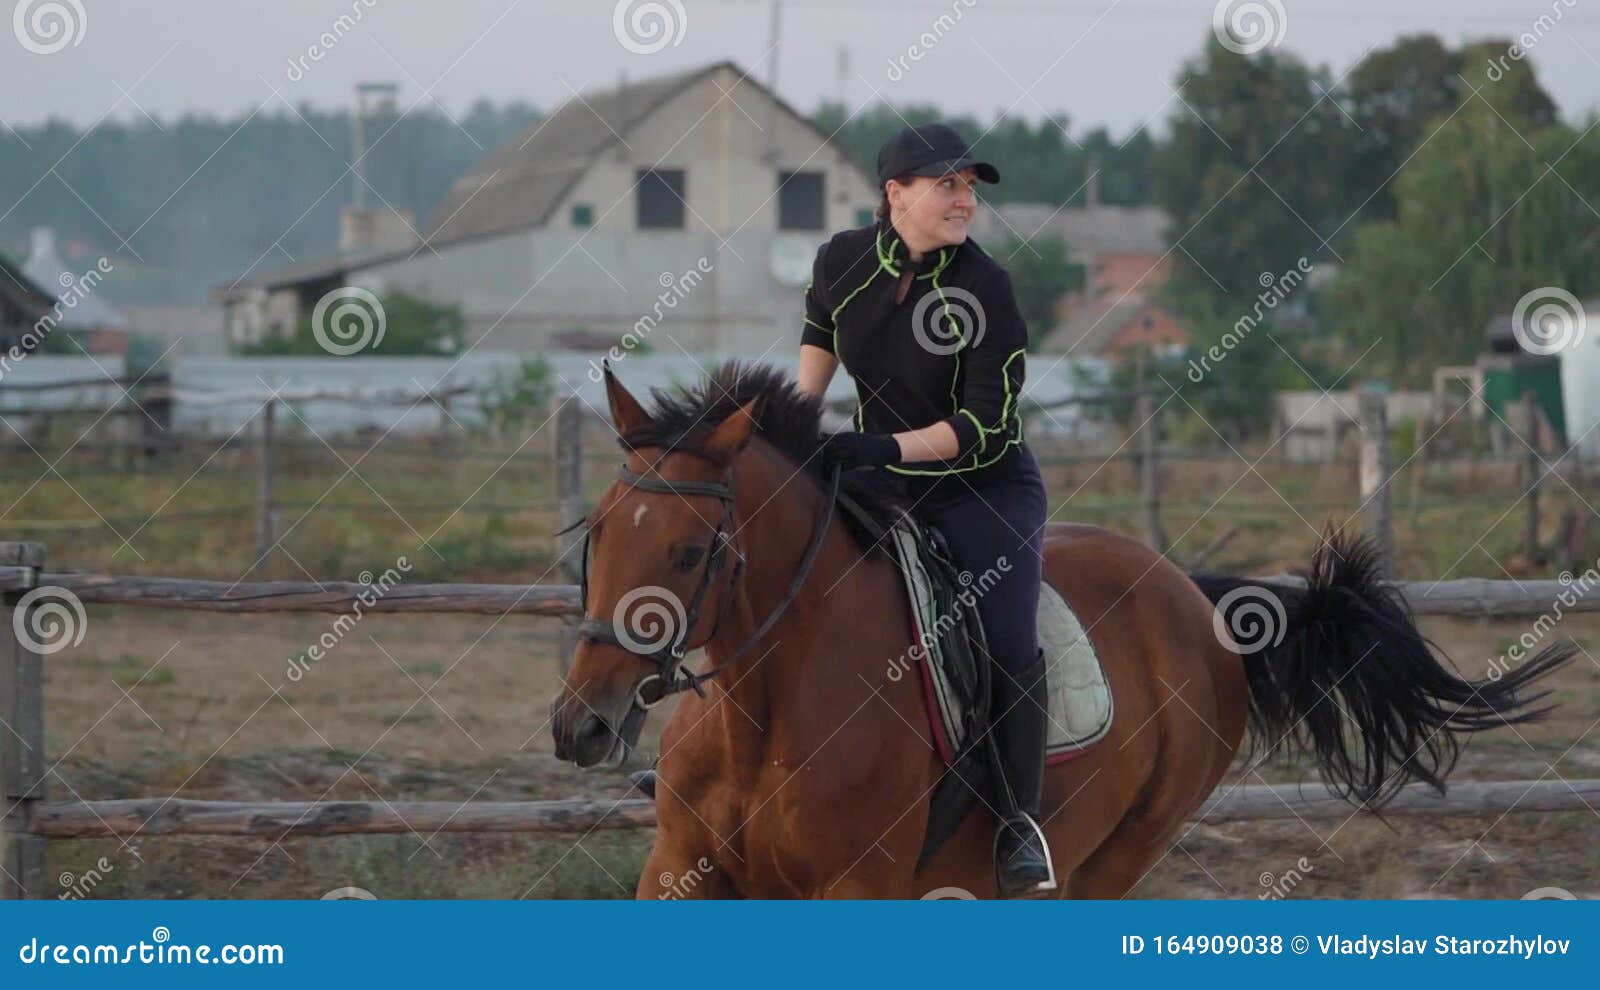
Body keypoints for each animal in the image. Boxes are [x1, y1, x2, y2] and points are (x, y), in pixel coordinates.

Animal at [547, 364, 1561, 895]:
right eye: (599, 535)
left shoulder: (857, 886)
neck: (764, 714)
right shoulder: (679, 871)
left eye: (689, 552)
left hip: (1118, 849)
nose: (581, 724)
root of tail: (1187, 592)